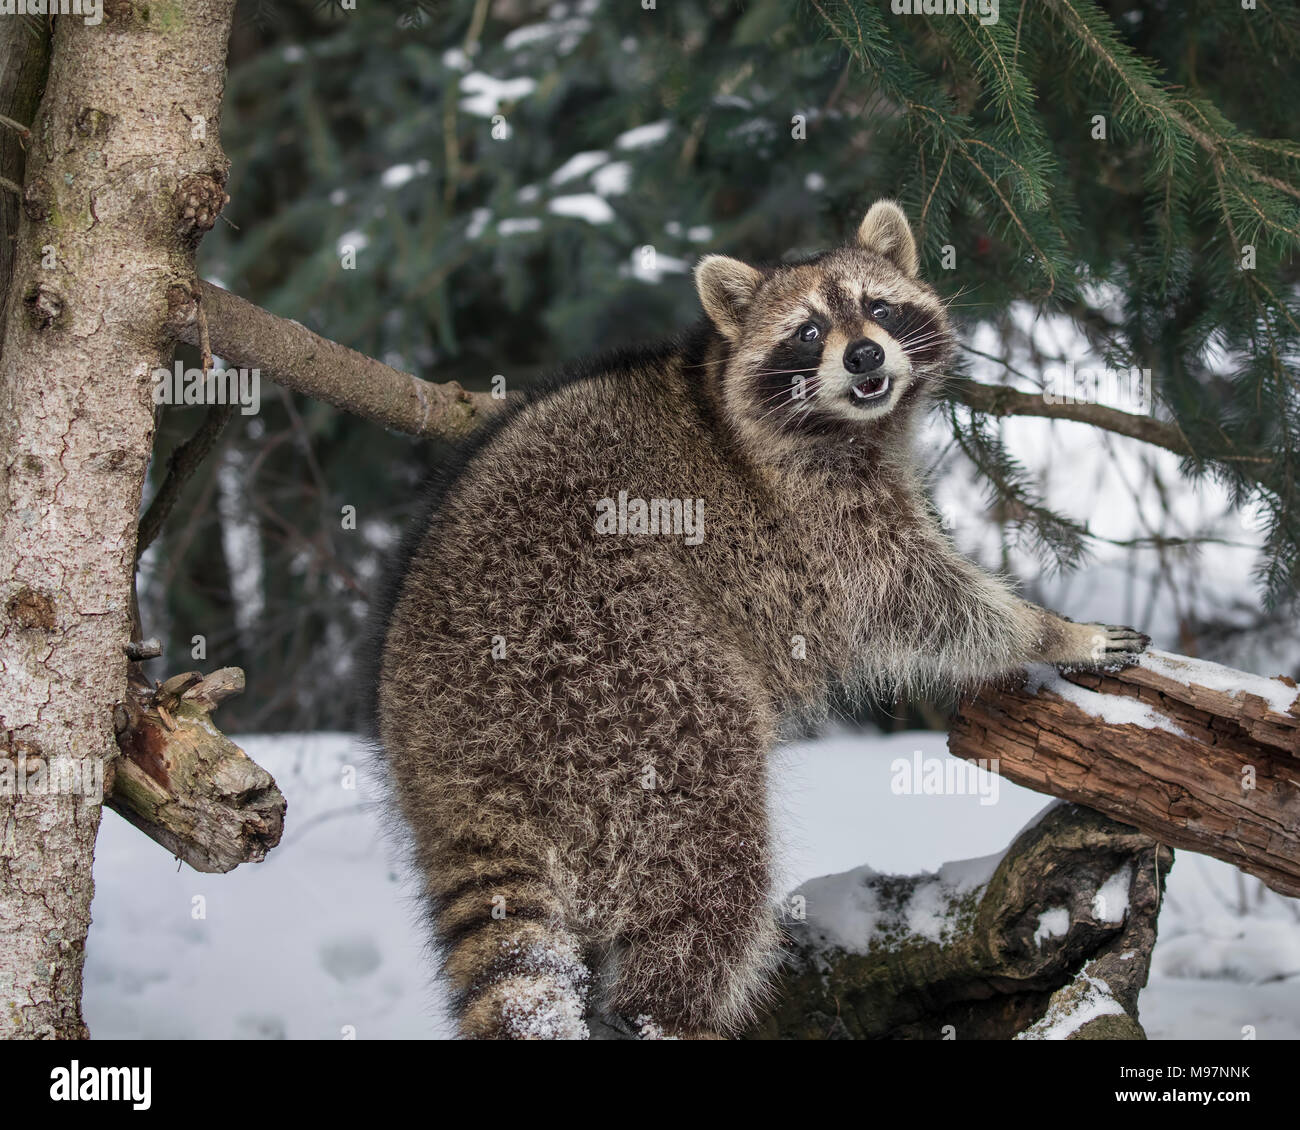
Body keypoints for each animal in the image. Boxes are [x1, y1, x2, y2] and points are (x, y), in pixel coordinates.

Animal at [370, 200, 1147, 1039]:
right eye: (808, 332)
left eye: (879, 308)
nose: (865, 356)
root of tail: (451, 763)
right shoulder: (814, 524)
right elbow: (918, 599)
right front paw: (1050, 632)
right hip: (618, 674)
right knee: (710, 848)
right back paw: (673, 1009)